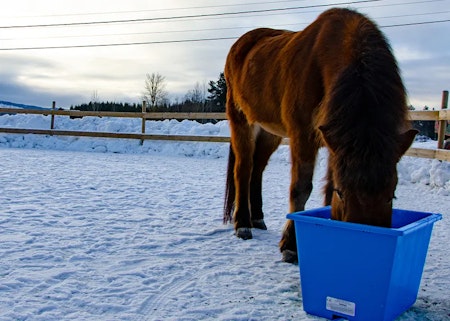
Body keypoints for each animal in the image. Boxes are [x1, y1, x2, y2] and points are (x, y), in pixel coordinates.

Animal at [223, 8, 416, 262]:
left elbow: (327, 186)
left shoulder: (335, 140)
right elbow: (301, 189)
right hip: (241, 120)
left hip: (269, 132)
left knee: (257, 170)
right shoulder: (303, 135)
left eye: (391, 195)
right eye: (342, 194)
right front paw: (290, 247)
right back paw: (243, 225)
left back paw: (257, 219)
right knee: (244, 169)